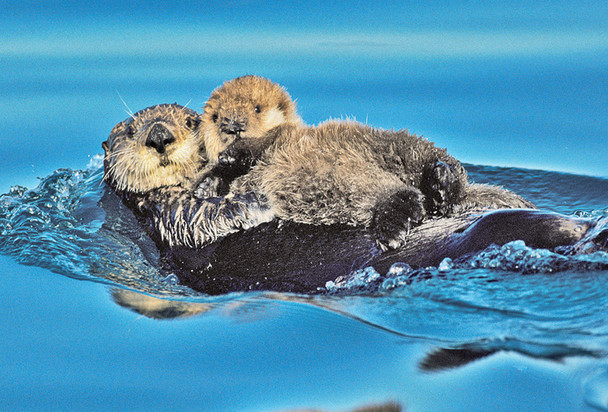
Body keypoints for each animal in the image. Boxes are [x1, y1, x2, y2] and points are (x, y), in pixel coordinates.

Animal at [102, 104, 604, 294]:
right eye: (127, 130)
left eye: (189, 121)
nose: (159, 136)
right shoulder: (171, 215)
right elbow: (213, 214)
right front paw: (247, 197)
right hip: (492, 227)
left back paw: (441, 183)